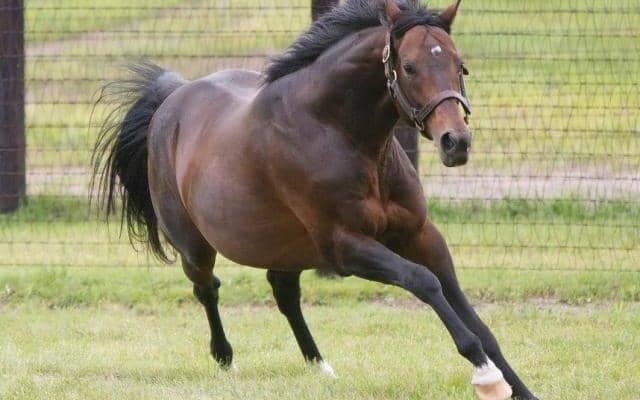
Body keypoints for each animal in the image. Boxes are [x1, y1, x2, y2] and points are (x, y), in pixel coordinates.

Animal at [92, 1, 537, 399]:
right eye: (409, 67)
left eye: (460, 66)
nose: (455, 142)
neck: (337, 131)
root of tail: (173, 98)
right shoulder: (345, 247)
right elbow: (423, 282)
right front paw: (486, 377)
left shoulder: (421, 235)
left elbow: (471, 315)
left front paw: (518, 387)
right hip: (195, 247)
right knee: (208, 290)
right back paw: (226, 359)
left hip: (283, 246)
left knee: (284, 292)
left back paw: (319, 366)